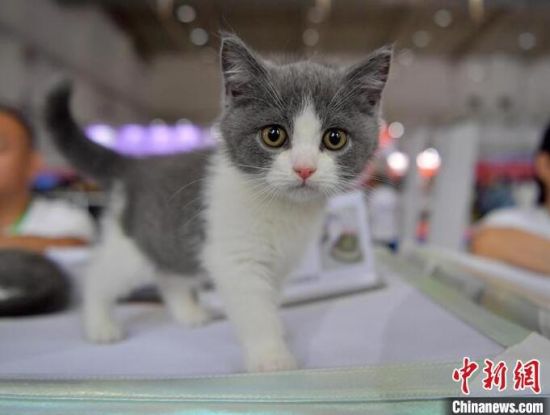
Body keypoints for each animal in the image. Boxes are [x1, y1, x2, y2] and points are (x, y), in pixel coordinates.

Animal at [45, 33, 391, 372]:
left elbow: (270, 297)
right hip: (134, 241)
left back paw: (188, 313)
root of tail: (136, 164)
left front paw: (277, 329)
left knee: (169, 273)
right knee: (101, 273)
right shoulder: (236, 258)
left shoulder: (281, 262)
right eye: (274, 135)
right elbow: (254, 307)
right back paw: (100, 326)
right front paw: (271, 358)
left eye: (335, 138)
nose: (304, 168)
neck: (283, 208)